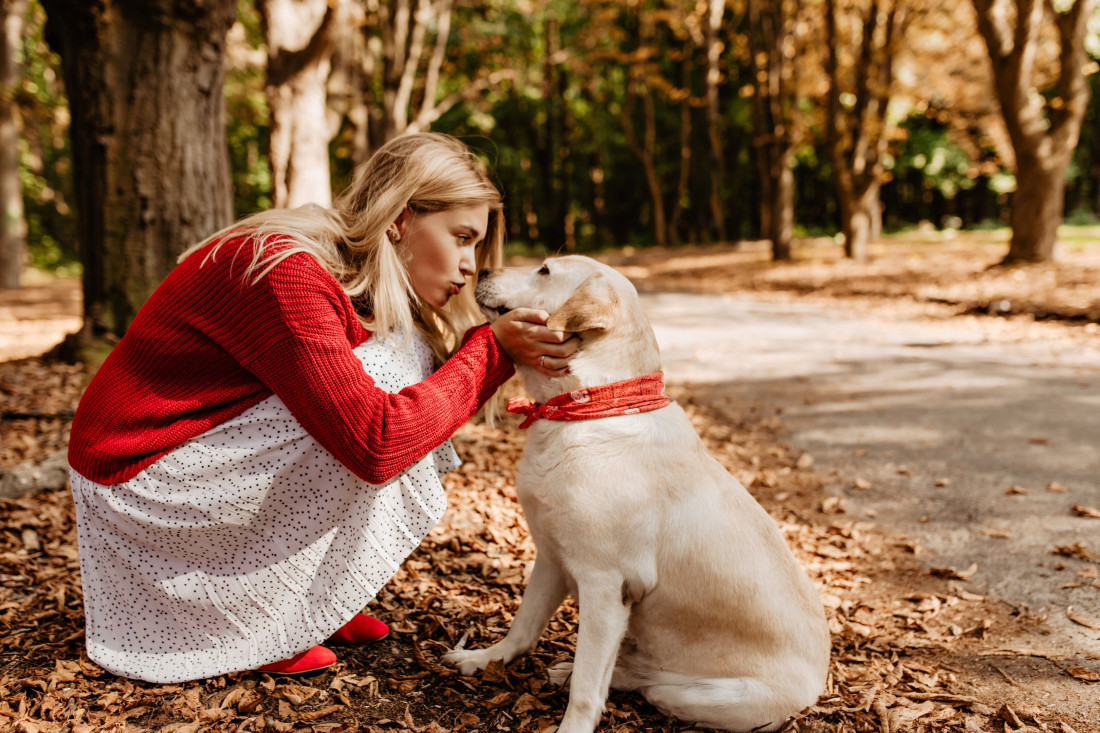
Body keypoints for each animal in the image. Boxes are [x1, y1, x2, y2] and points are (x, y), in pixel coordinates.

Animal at [442, 255, 827, 730]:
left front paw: (572, 725)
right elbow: (523, 627)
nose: (481, 269)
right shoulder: (551, 557)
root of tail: (817, 689)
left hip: (713, 696)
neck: (591, 406)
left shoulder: (606, 583)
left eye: (545, 270)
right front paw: (485, 659)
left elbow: (589, 687)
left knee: (650, 686)